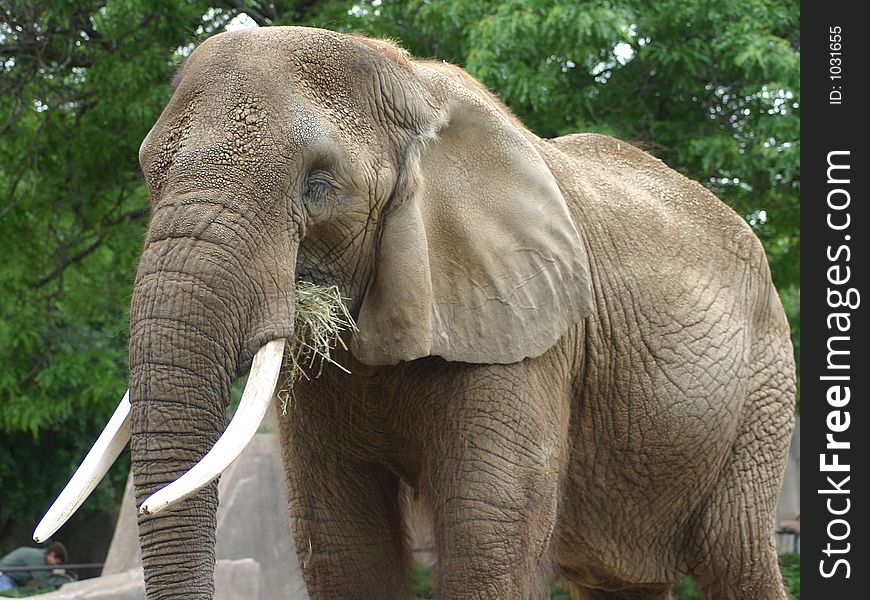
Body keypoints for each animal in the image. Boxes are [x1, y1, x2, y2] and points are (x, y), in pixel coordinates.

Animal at [35, 25, 796, 600]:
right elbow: (343, 541)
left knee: (734, 554)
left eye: (319, 184)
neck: (411, 88)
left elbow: (487, 532)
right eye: (149, 172)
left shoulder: (527, 328)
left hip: (764, 389)